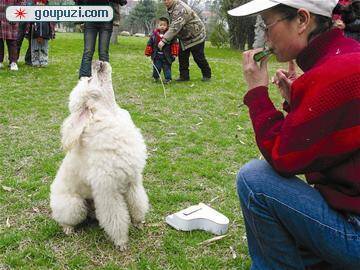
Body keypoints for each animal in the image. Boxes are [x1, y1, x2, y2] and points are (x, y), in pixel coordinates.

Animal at [50, 61, 148, 251]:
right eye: (90, 80)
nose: (97, 62)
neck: (111, 116)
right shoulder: (108, 190)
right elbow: (116, 218)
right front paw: (121, 242)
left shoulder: (133, 180)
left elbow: (137, 203)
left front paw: (139, 223)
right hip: (74, 205)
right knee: (64, 219)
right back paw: (68, 229)